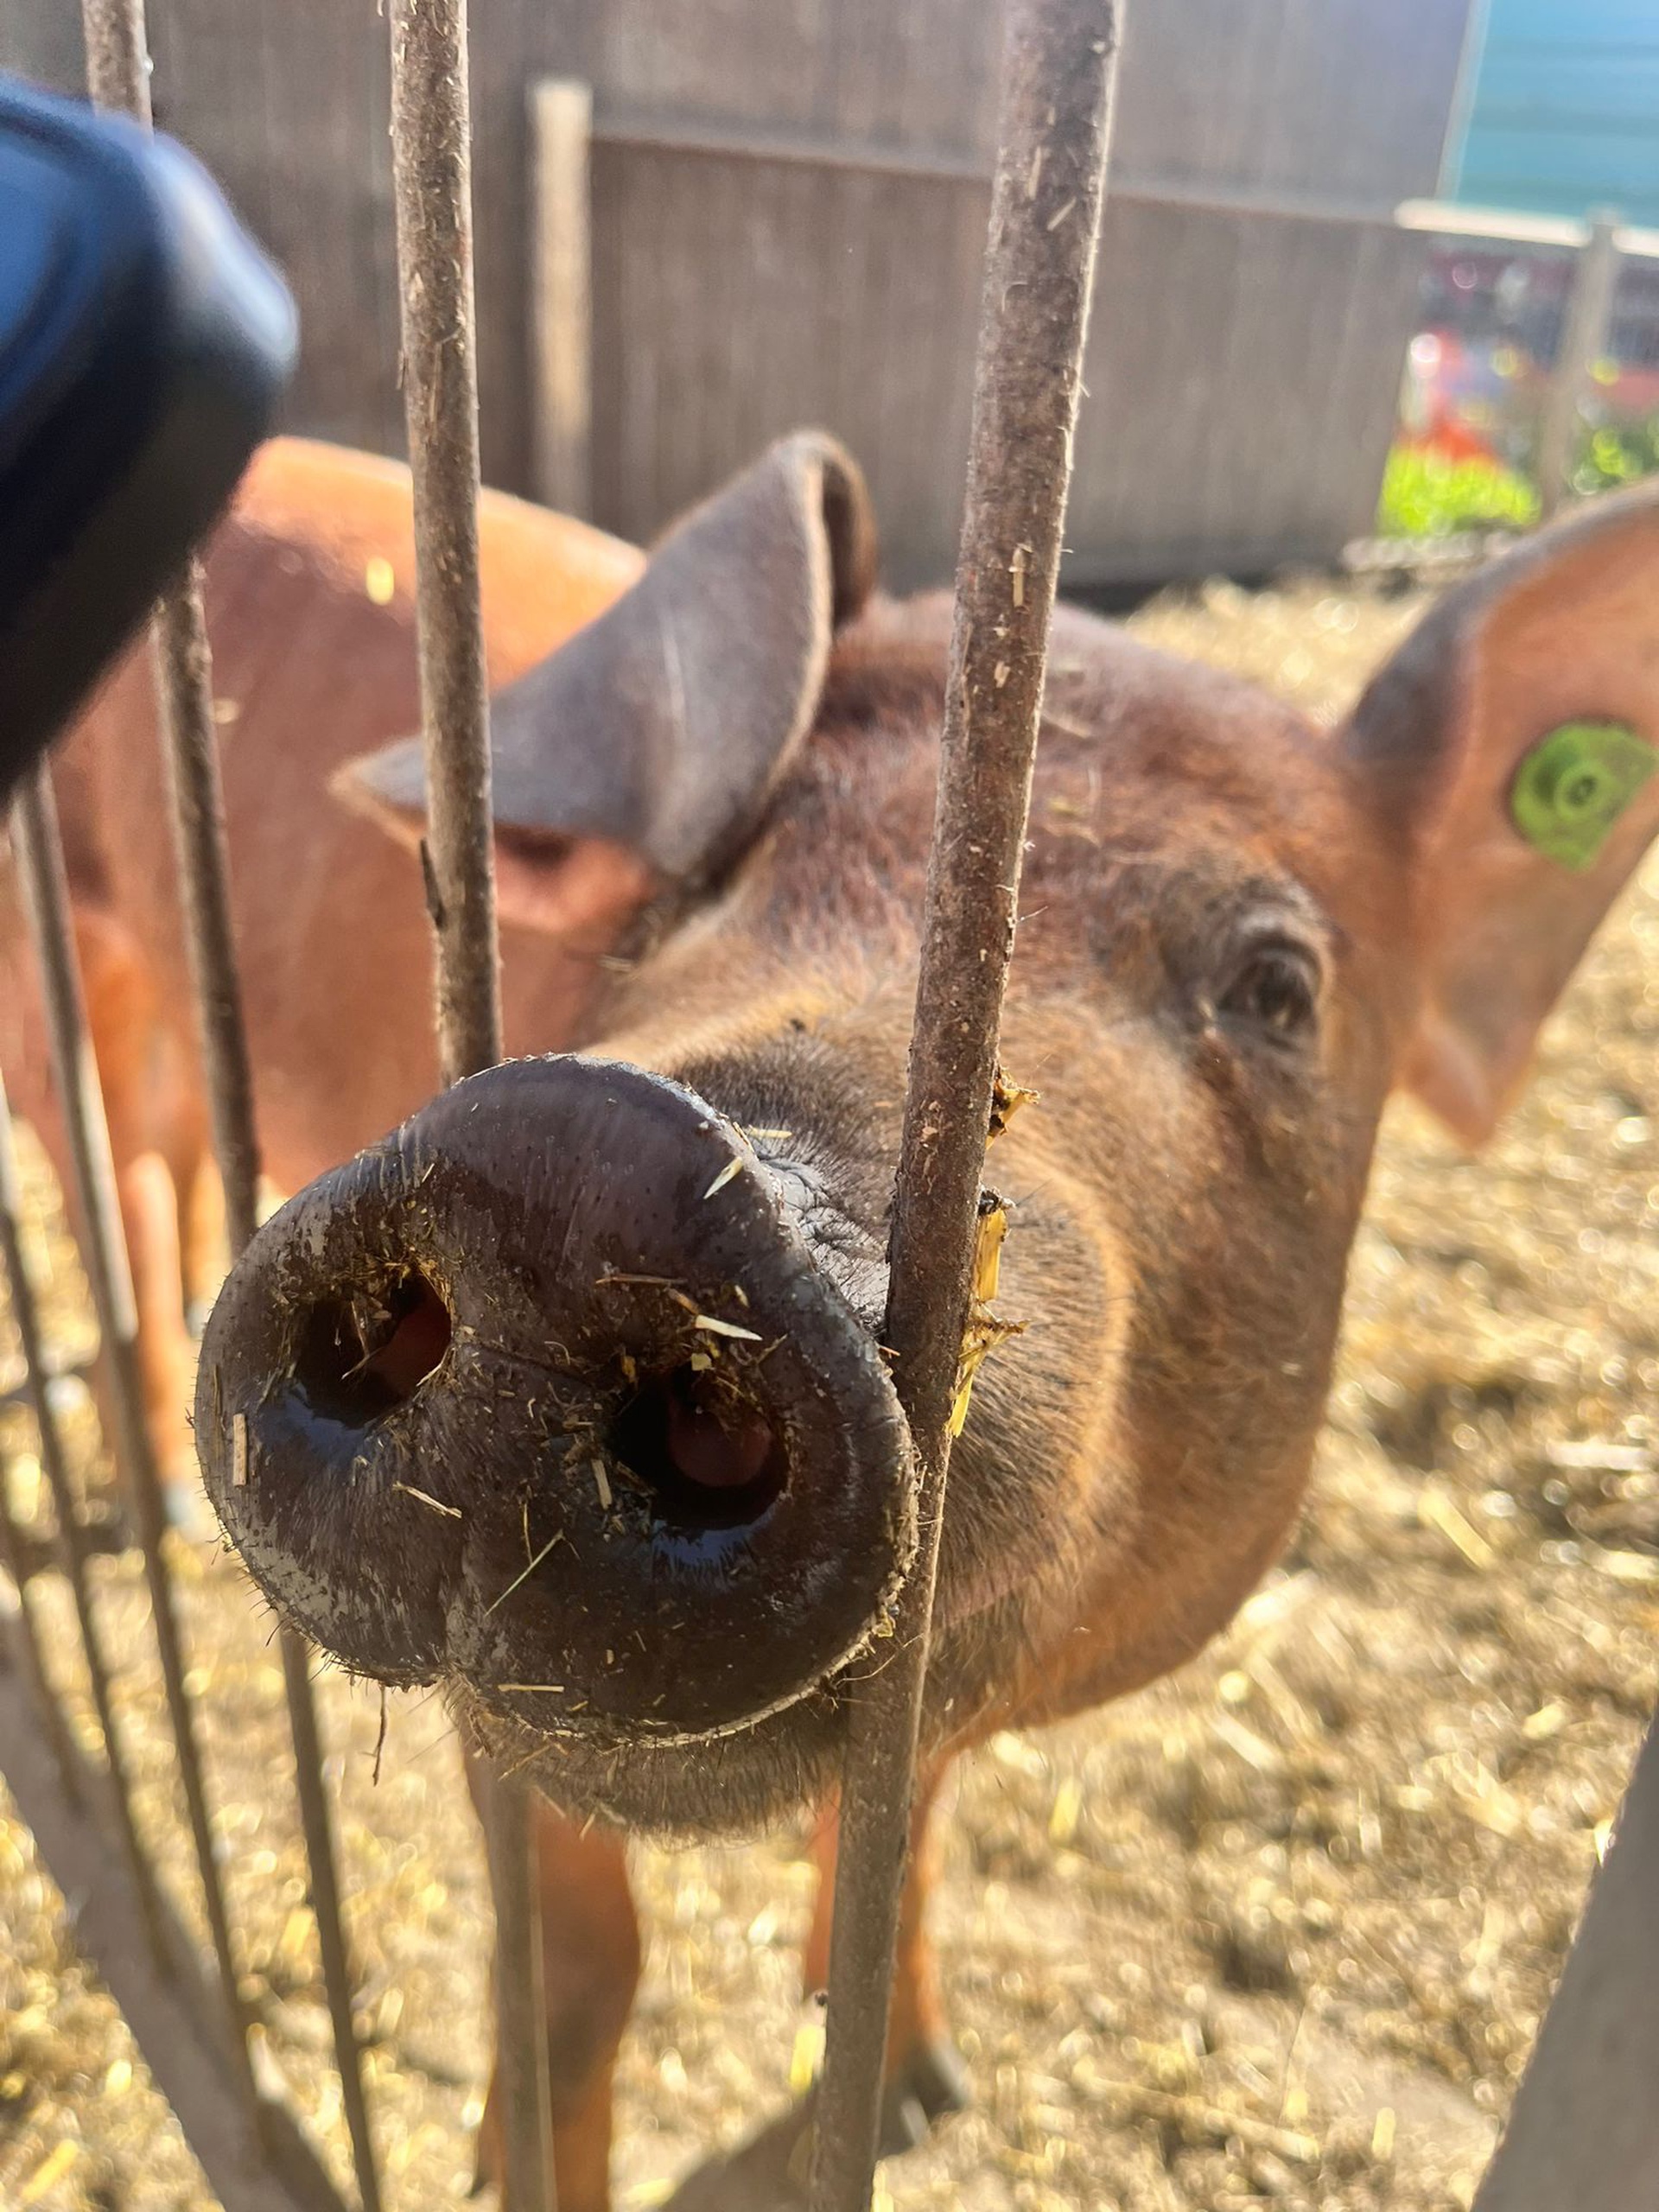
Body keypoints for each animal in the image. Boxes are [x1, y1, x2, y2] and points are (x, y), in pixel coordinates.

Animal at [188, 435, 1659, 2212]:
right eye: (695, 891)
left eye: (1280, 987)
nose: (576, 1162)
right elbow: (578, 1972)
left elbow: (911, 1838)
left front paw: (914, 2094)